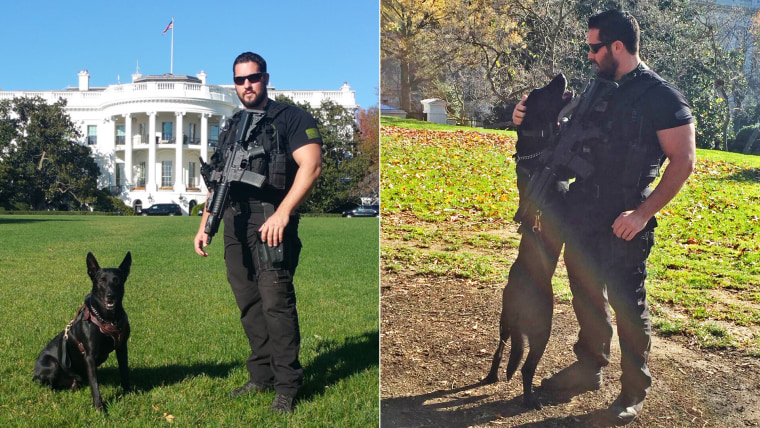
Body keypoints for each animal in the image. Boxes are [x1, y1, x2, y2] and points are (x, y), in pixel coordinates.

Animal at [34, 251, 133, 412]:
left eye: (117, 281)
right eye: (101, 281)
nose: (110, 296)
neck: (107, 319)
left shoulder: (122, 348)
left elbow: (124, 371)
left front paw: (129, 392)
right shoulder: (89, 356)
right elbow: (95, 385)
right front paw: (100, 408)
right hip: (51, 363)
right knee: (49, 385)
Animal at [484, 72, 572, 408]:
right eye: (541, 91)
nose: (560, 75)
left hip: (505, 324)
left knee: (499, 352)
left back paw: (491, 377)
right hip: (541, 333)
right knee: (525, 368)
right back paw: (529, 399)